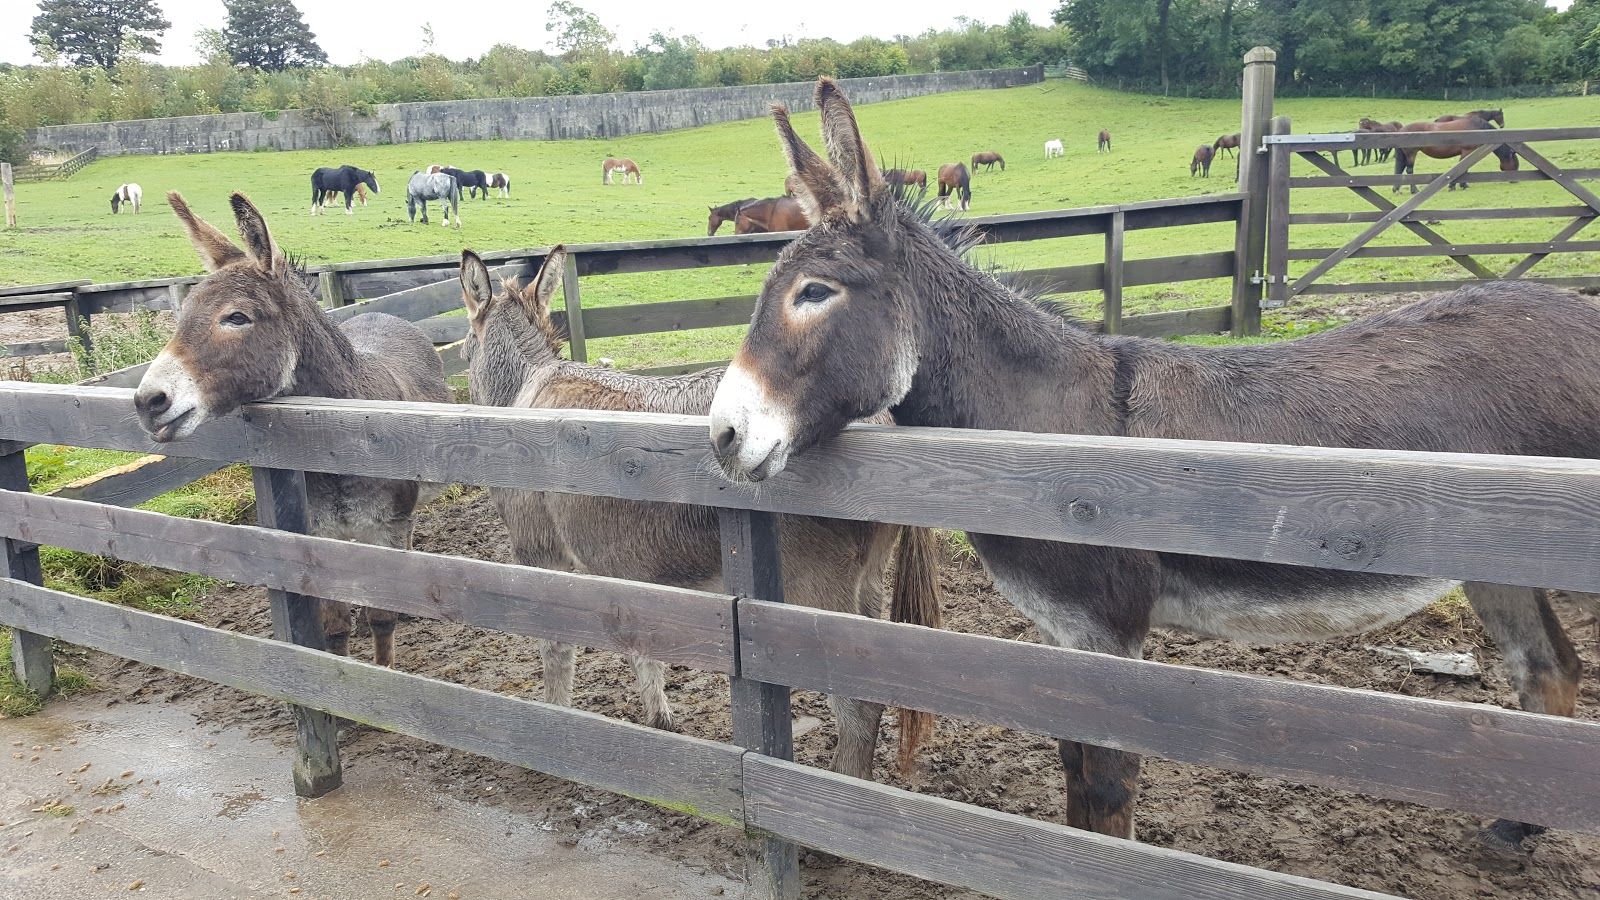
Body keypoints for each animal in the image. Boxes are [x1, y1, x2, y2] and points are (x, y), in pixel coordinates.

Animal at [133, 191, 450, 668]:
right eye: (182, 315)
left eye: (237, 318)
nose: (147, 401)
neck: (340, 441)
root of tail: (381, 314)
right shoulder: (319, 537)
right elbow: (335, 628)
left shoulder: (385, 529)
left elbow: (383, 619)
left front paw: (385, 669)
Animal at [456, 246, 941, 778]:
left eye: (464, 348)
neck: (525, 389)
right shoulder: (626, 569)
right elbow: (640, 641)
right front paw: (659, 718)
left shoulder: (540, 552)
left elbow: (554, 646)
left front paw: (553, 729)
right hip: (866, 581)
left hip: (819, 592)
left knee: (858, 705)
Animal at [709, 77, 1598, 855]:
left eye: (815, 293)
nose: (719, 436)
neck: (1050, 424)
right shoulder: (1061, 631)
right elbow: (1074, 772)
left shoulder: (1112, 633)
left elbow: (1107, 790)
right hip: (1496, 566)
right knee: (1548, 669)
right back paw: (1513, 832)